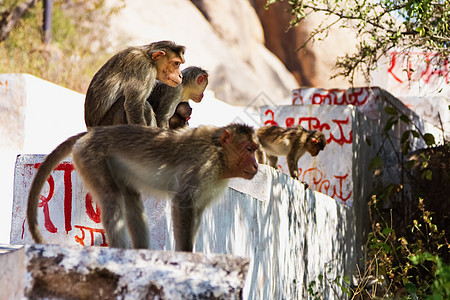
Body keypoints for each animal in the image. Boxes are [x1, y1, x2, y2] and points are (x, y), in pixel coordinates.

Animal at [28, 123, 258, 252]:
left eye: (255, 149)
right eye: (249, 149)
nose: (256, 165)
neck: (219, 153)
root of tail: (91, 133)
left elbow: (197, 211)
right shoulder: (203, 164)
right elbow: (183, 203)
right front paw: (185, 254)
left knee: (131, 200)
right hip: (90, 156)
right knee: (111, 196)